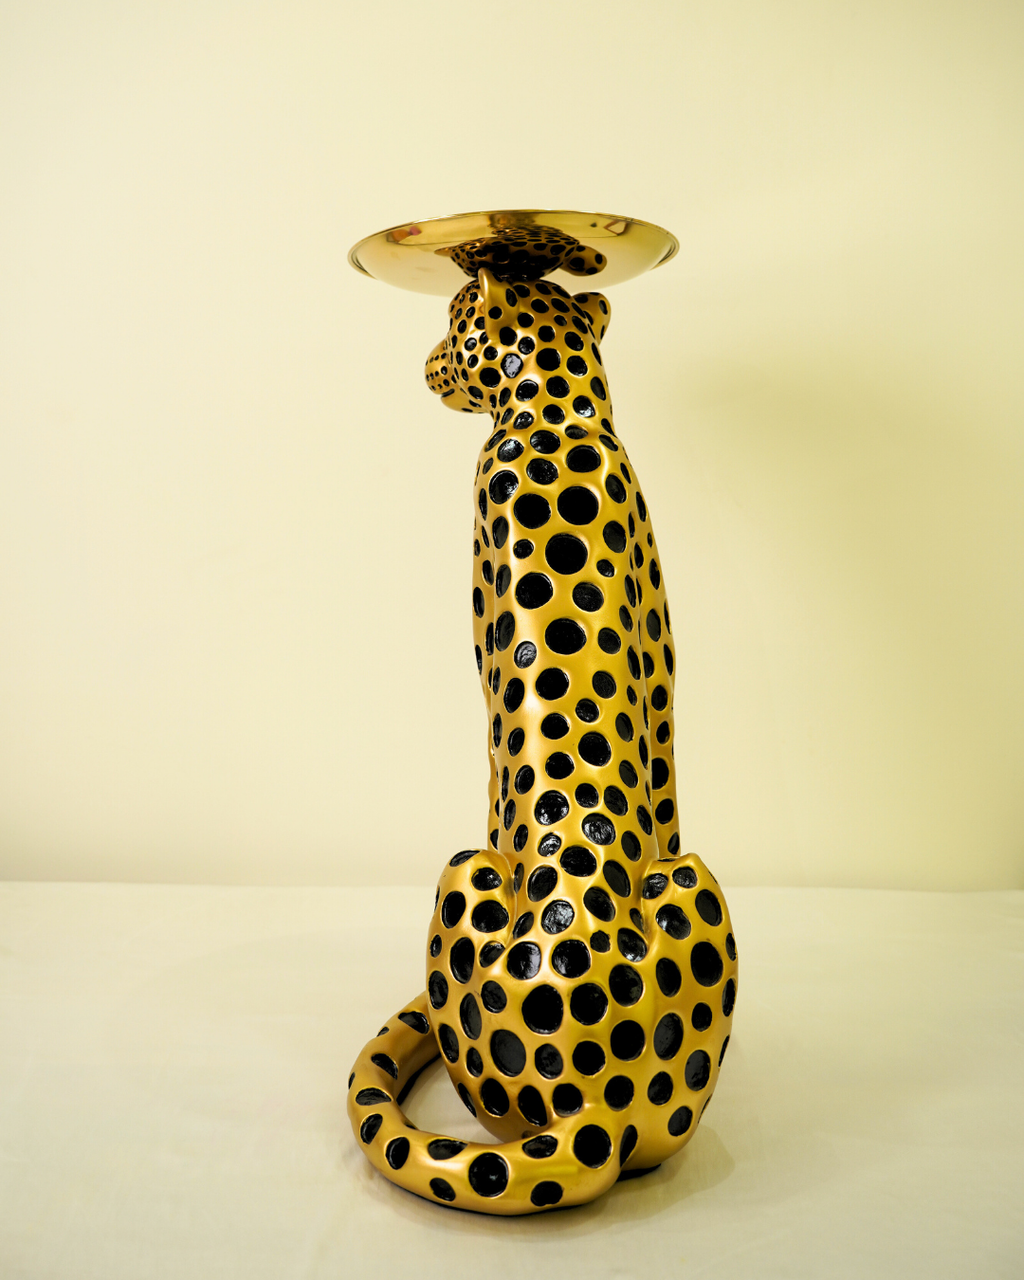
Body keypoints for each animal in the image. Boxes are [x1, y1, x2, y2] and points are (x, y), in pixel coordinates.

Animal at [347, 265, 737, 1215]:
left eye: (453, 321)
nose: (426, 364)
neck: (558, 414)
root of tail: (593, 1113)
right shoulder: (664, 676)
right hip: (694, 875)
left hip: (461, 867)